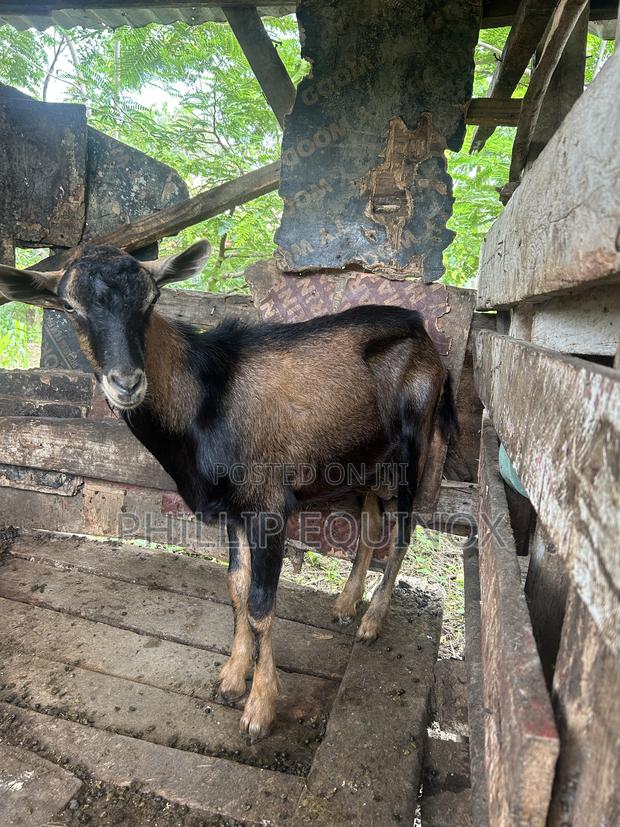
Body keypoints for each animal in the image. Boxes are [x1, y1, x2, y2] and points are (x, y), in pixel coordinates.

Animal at [0, 240, 458, 740]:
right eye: (69, 306)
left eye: (151, 300)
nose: (127, 382)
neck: (205, 400)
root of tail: (423, 333)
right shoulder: (232, 510)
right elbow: (236, 586)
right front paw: (232, 676)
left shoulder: (269, 507)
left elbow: (260, 604)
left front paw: (260, 707)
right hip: (363, 462)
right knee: (373, 523)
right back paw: (344, 603)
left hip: (414, 446)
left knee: (403, 532)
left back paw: (372, 621)